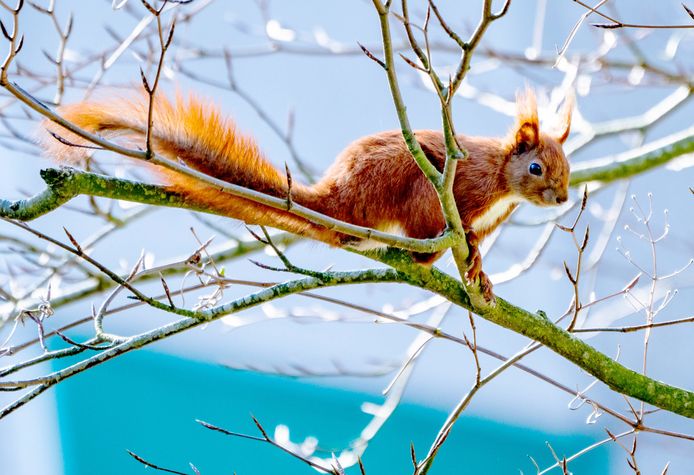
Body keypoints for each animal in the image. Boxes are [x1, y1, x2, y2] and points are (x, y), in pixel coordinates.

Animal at [43, 89, 572, 290]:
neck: (502, 182)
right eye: (537, 167)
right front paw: (474, 254)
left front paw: (482, 274)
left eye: (567, 168)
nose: (564, 199)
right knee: (420, 237)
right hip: (414, 185)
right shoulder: (463, 188)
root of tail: (338, 200)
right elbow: (466, 226)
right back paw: (428, 255)